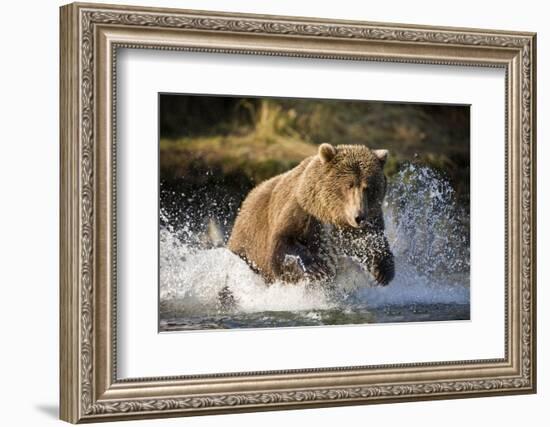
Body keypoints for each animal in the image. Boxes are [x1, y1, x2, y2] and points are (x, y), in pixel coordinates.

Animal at [229, 144, 396, 288]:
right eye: (349, 185)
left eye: (368, 187)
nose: (359, 216)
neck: (330, 215)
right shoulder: (303, 211)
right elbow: (282, 243)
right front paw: (316, 268)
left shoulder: (369, 223)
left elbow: (374, 244)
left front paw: (382, 272)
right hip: (248, 241)